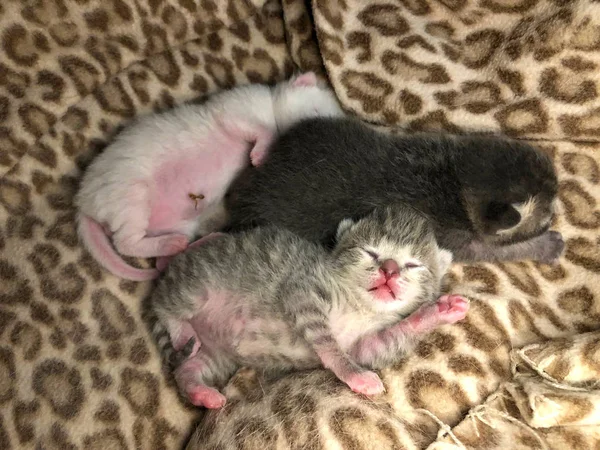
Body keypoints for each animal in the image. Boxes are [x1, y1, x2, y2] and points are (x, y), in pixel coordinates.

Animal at [149, 206, 468, 410]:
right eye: (371, 252)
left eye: (413, 265)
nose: (389, 269)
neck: (361, 308)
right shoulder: (303, 290)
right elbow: (328, 342)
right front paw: (355, 376)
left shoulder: (365, 344)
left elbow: (382, 341)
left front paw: (441, 309)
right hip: (195, 288)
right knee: (165, 306)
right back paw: (179, 327)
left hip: (217, 356)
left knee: (187, 370)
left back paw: (202, 394)